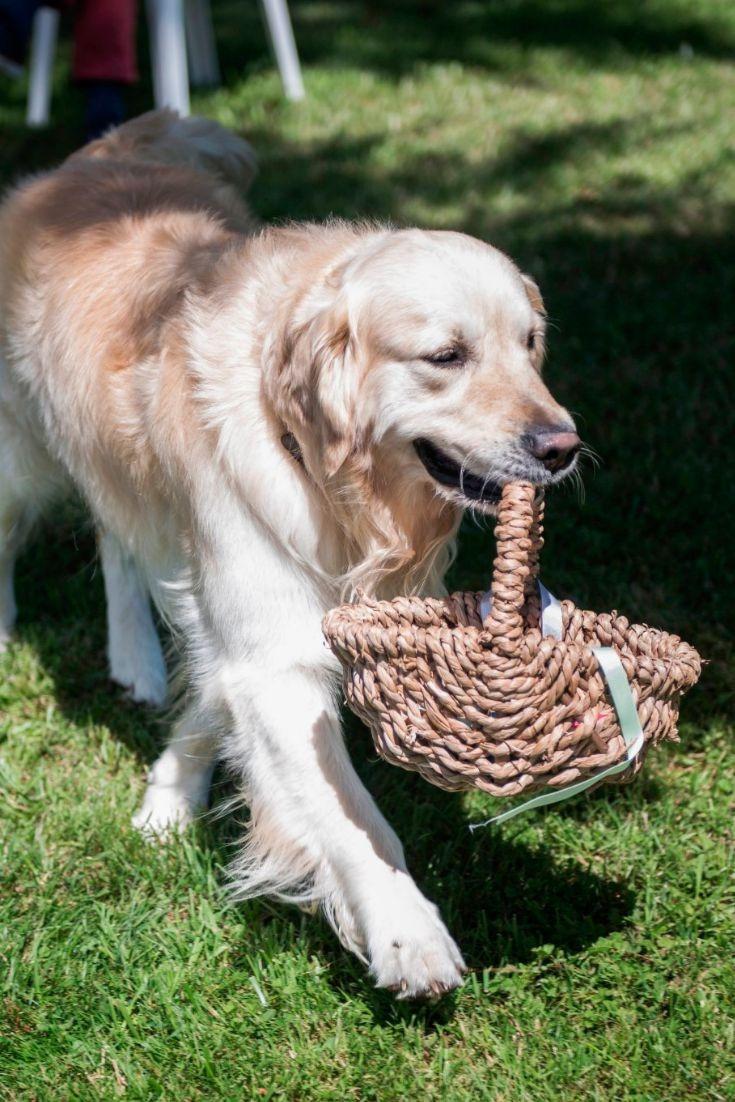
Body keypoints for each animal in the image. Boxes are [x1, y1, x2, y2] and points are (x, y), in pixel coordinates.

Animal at [2, 109, 581, 1000]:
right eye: (444, 357)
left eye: (530, 344)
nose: (563, 447)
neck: (339, 487)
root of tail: (117, 139)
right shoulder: (267, 638)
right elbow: (350, 815)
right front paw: (407, 931)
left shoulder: (258, 617)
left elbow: (215, 689)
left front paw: (169, 793)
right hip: (20, 453)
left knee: (118, 534)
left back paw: (135, 659)